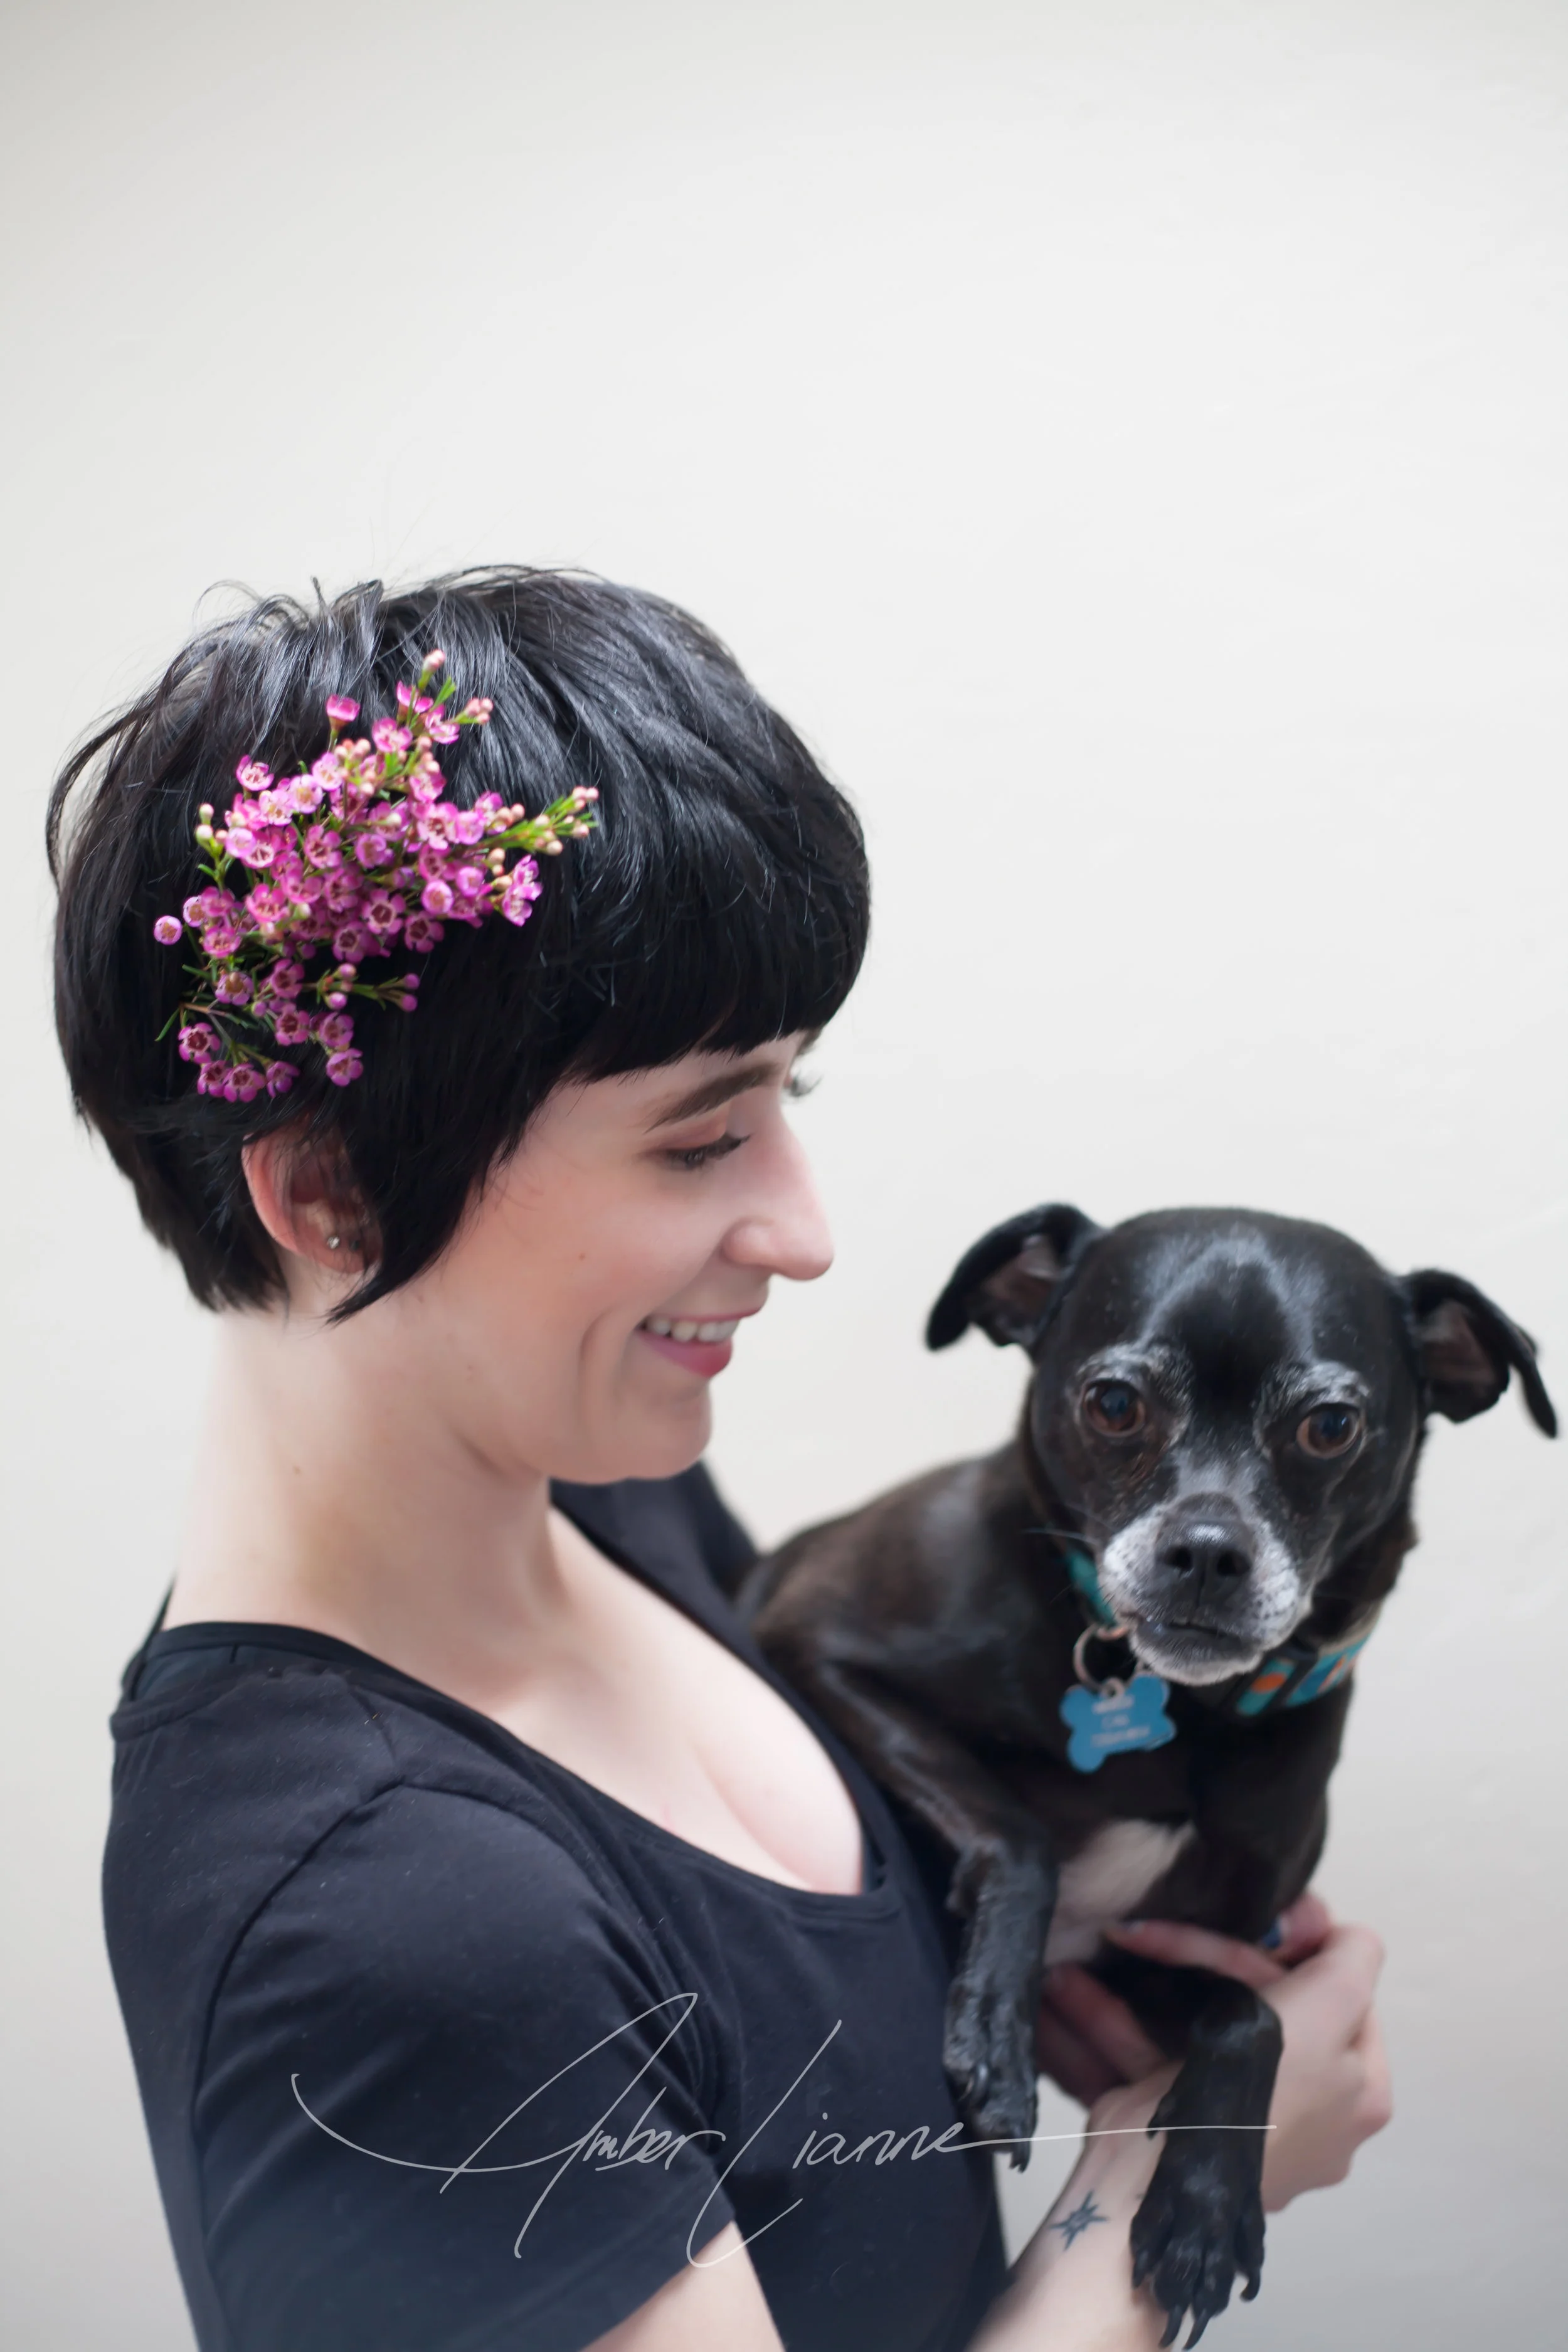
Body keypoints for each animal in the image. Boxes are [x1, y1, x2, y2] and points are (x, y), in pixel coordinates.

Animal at [739, 1205, 1556, 2346]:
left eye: (1330, 1426)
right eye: (1116, 1404)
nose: (1207, 1551)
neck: (1182, 1709)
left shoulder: (1149, 1960)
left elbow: (1252, 2017)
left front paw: (1203, 2213)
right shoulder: (815, 1643)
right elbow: (1019, 1837)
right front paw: (992, 2030)